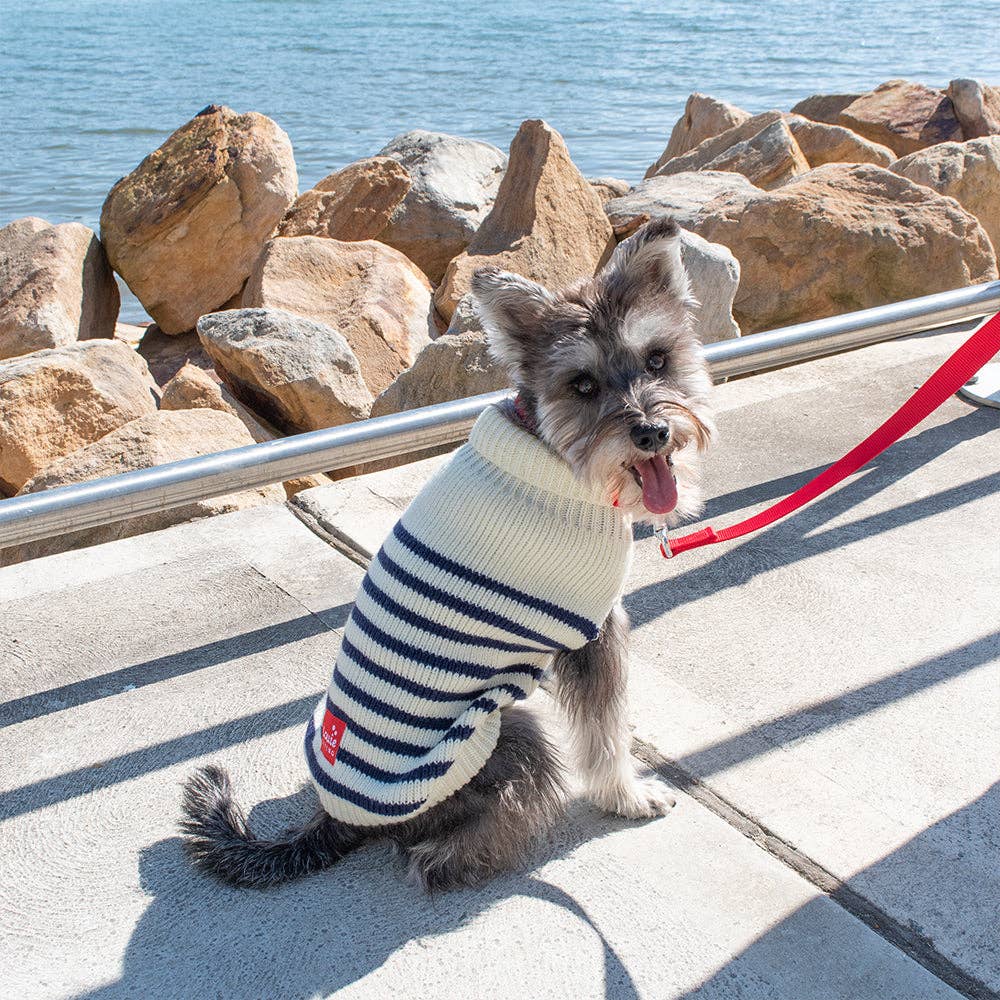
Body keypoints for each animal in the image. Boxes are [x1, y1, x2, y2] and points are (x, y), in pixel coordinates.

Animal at [180, 217, 712, 892]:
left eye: (657, 359)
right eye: (583, 384)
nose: (652, 431)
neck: (555, 456)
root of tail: (337, 819)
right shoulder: (593, 631)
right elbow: (604, 731)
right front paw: (629, 796)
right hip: (499, 735)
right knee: (433, 854)